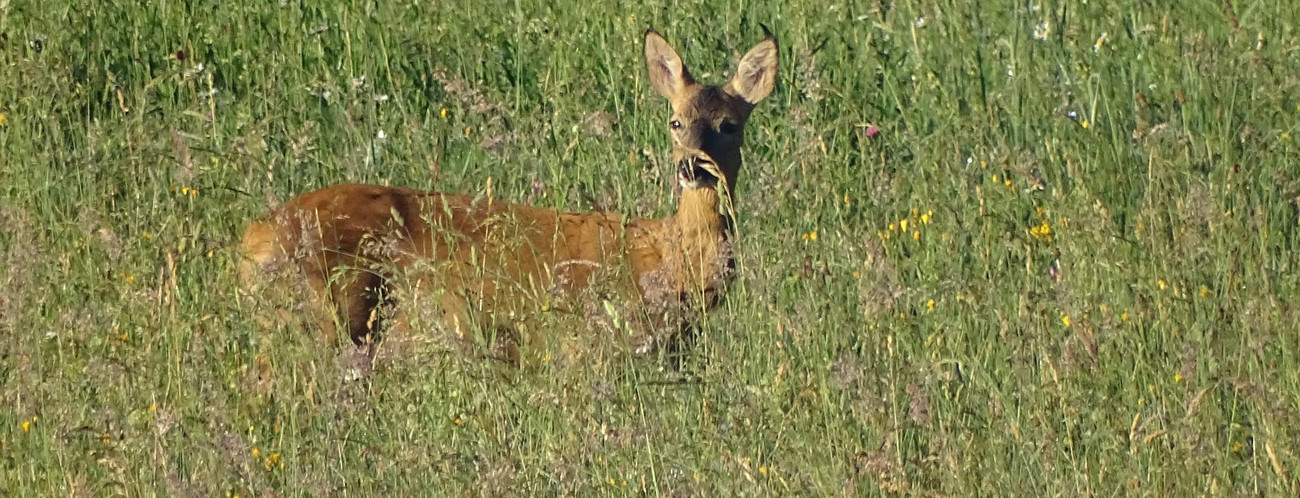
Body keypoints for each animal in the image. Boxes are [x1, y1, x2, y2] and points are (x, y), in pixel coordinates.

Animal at [239, 28, 778, 361]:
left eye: (729, 125)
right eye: (675, 121)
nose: (692, 166)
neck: (669, 260)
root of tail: (254, 237)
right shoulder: (585, 345)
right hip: (324, 317)